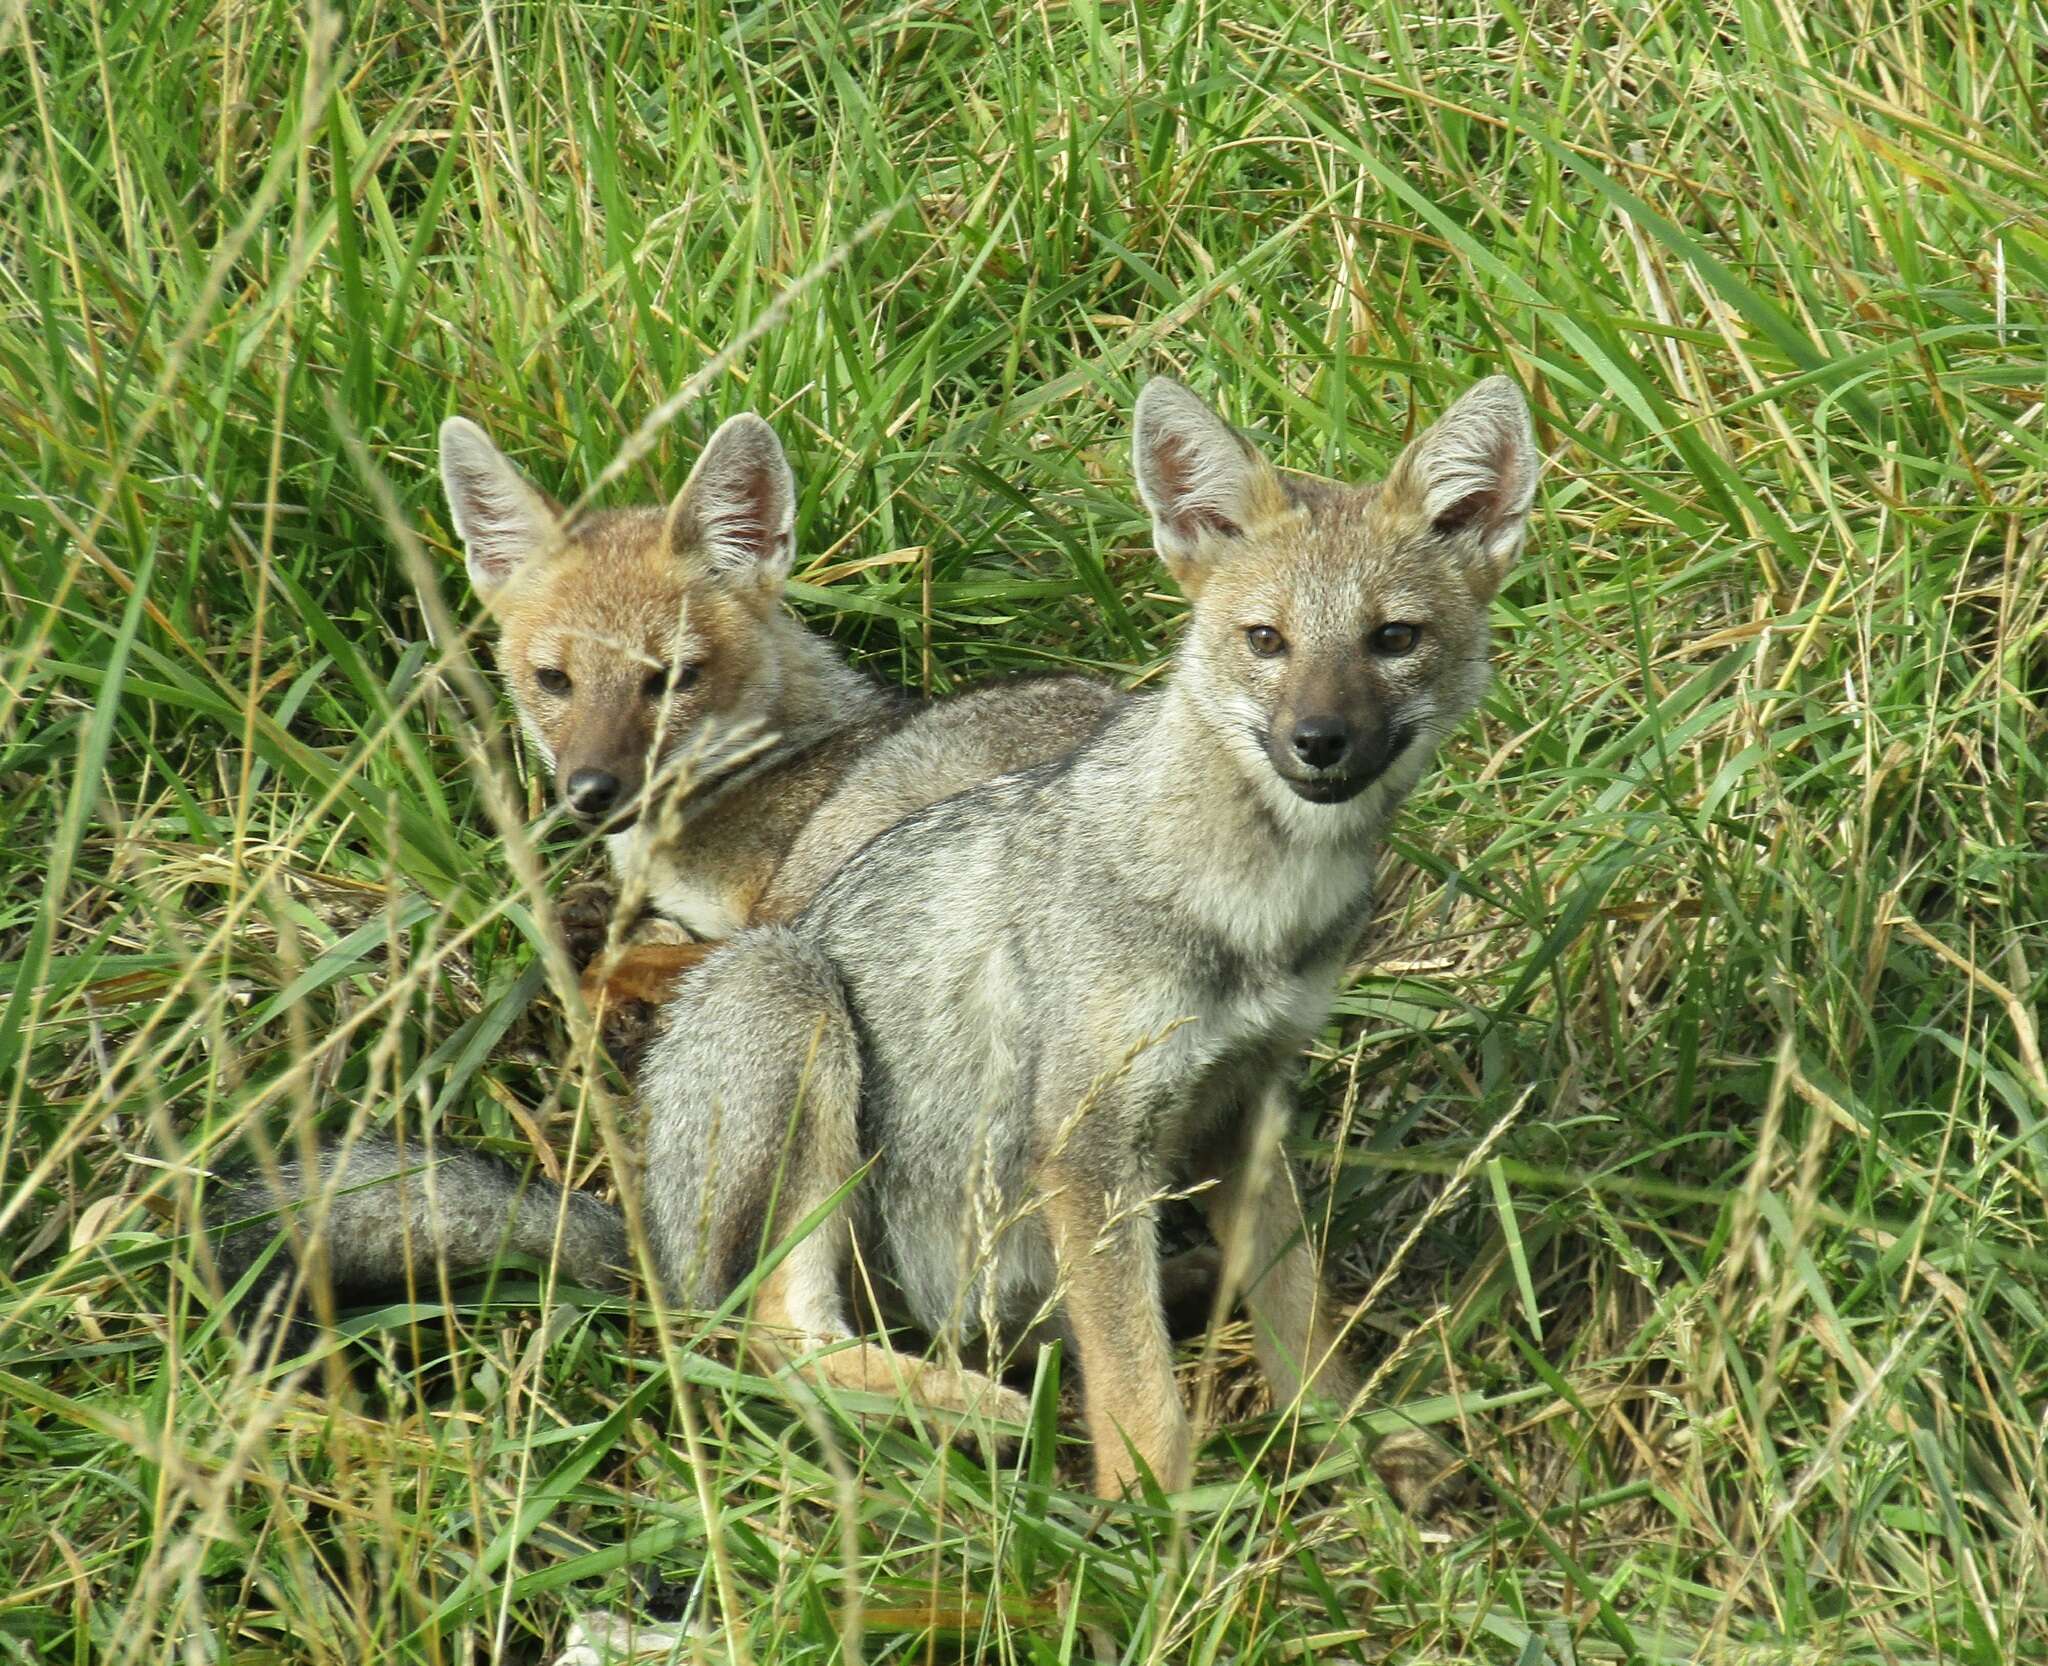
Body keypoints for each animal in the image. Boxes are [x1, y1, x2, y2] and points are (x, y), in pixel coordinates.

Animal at [216, 372, 1540, 1491]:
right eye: (1265, 641)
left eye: (1391, 639)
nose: (1319, 742)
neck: (1255, 906)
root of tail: (650, 1242)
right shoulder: (1085, 1140)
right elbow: (1143, 1402)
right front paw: (1157, 1541)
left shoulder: (1245, 1101)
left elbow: (1301, 1330)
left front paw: (1361, 1455)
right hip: (796, 1005)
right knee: (764, 1335)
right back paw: (977, 1410)